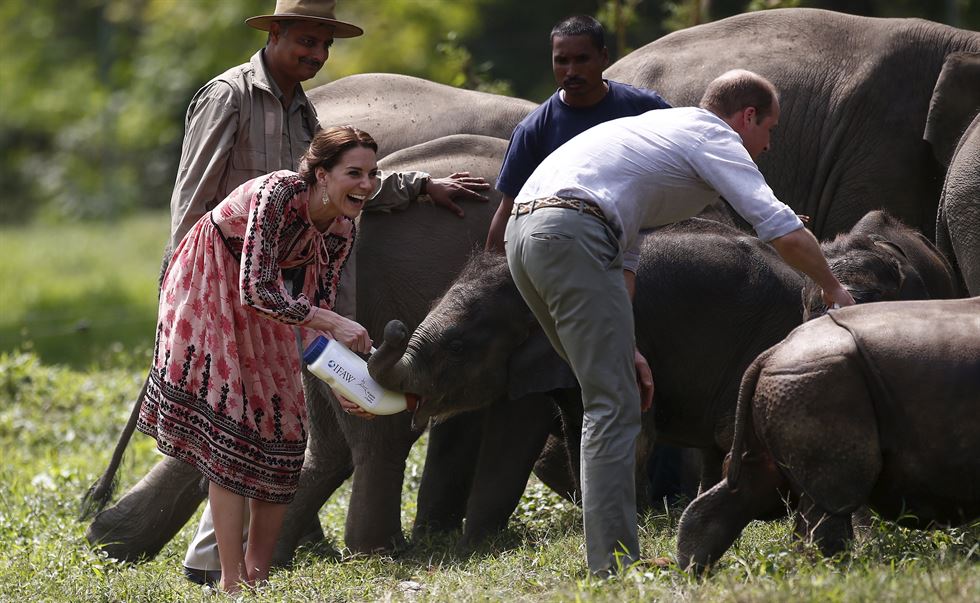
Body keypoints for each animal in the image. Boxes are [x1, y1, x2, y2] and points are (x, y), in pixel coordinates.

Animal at [676, 298, 980, 576]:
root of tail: (769, 354)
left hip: (794, 383)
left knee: (758, 482)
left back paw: (695, 573)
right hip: (817, 381)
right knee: (834, 497)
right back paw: (835, 573)